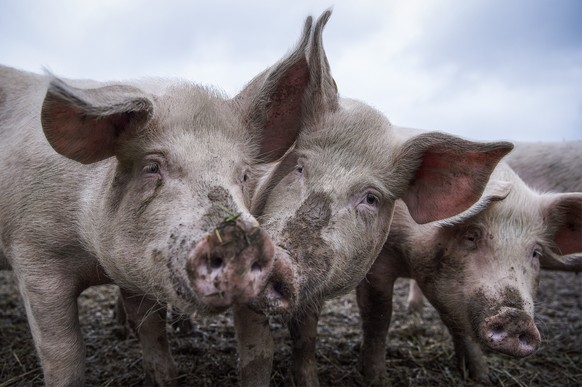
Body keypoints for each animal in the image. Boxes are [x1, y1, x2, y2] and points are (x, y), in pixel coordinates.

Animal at [0, 19, 320, 386]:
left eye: (243, 174)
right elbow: (64, 354)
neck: (94, 259)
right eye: (152, 167)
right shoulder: (33, 255)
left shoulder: (135, 271)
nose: (239, 239)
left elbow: (152, 334)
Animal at [358, 161, 580, 384]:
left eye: (535, 253)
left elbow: (459, 326)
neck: (409, 257)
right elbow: (378, 317)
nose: (516, 317)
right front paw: (377, 379)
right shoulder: (376, 263)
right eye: (471, 236)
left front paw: (482, 377)